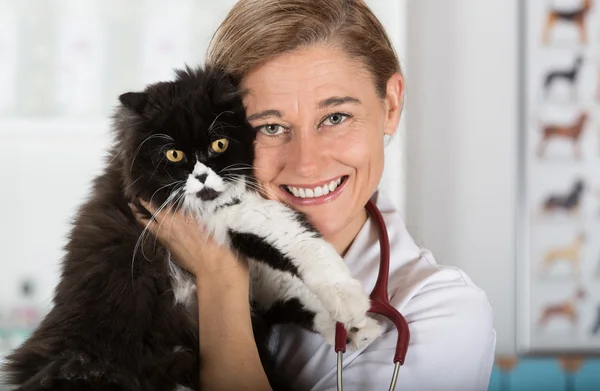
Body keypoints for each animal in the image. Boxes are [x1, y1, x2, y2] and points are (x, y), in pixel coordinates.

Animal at [1, 66, 380, 390]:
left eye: (219, 144)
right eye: (173, 155)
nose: (200, 177)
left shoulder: (254, 270)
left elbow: (295, 281)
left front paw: (356, 324)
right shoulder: (219, 216)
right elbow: (298, 240)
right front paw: (349, 300)